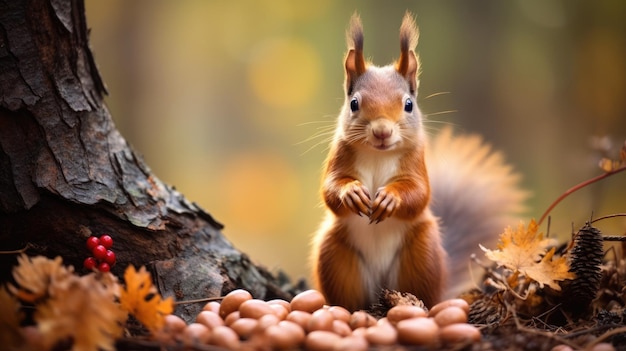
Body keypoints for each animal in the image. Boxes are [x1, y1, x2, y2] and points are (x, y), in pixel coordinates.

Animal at [310, 12, 524, 312]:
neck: (378, 155)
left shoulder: (416, 163)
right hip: (335, 254)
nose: (382, 131)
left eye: (409, 104)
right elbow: (330, 189)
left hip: (421, 255)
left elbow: (419, 193)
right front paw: (351, 192)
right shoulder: (339, 155)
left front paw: (391, 198)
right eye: (354, 103)